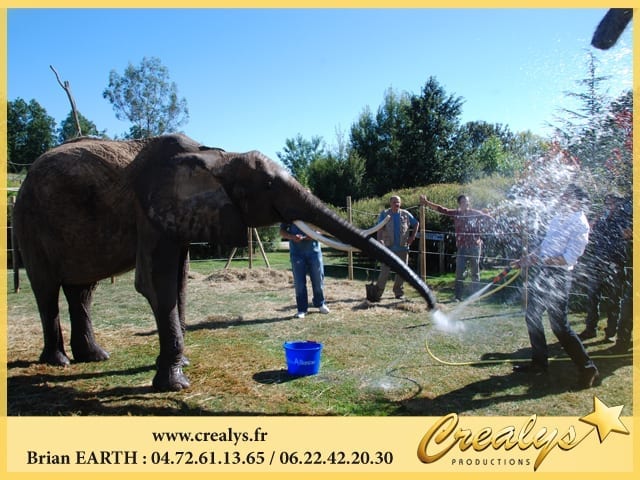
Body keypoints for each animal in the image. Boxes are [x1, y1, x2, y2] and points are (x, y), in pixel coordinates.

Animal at [12, 131, 438, 390]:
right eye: (268, 185)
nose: (433, 309)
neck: (216, 156)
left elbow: (178, 282)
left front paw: (177, 366)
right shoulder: (148, 212)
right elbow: (155, 284)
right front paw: (175, 384)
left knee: (82, 291)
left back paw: (96, 356)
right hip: (28, 221)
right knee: (48, 289)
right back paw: (60, 363)